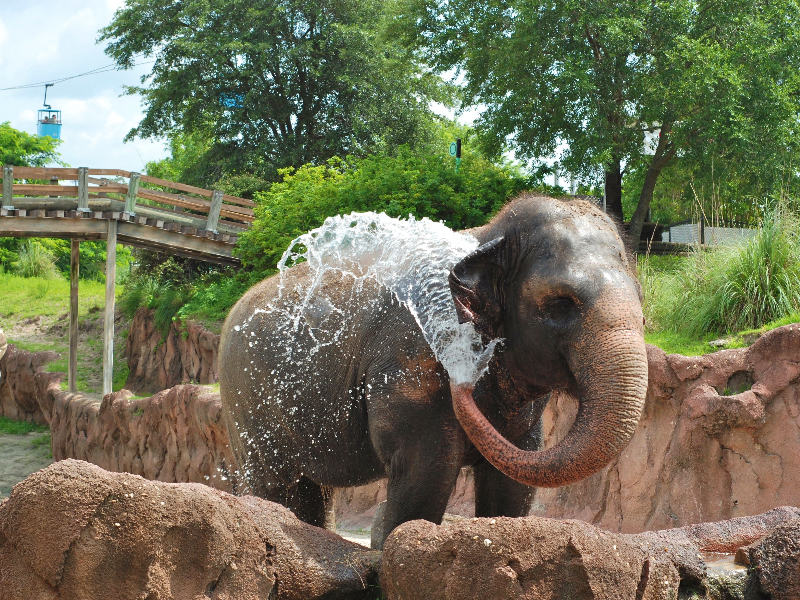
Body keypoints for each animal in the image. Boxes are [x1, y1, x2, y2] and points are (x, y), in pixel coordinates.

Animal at [219, 195, 648, 552]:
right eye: (561, 304)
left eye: (642, 305)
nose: (462, 383)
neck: (487, 237)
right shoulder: (411, 365)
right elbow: (425, 471)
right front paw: (390, 544)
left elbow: (512, 487)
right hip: (246, 401)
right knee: (276, 481)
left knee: (314, 490)